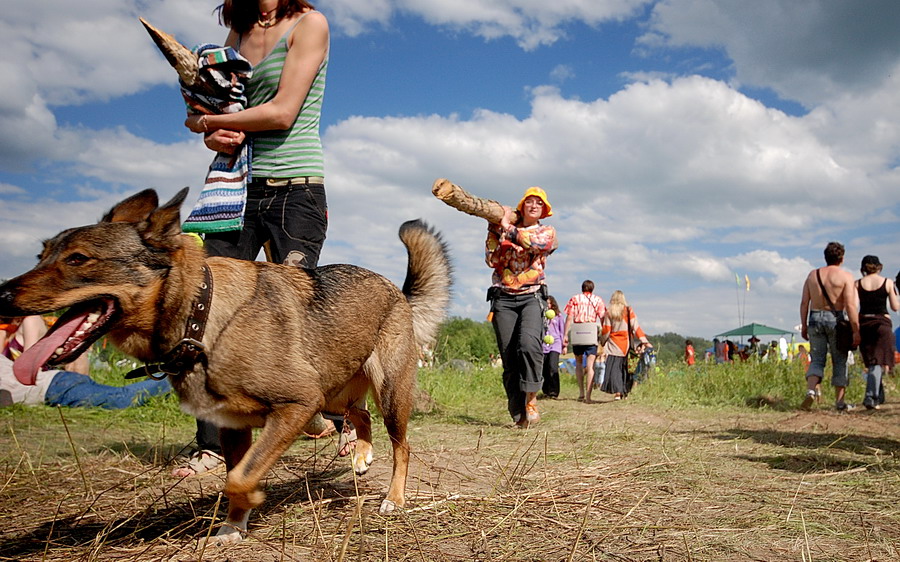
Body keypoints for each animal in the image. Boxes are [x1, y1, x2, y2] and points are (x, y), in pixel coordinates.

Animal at [0, 189, 450, 544]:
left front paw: (250, 503)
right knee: (360, 415)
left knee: (402, 446)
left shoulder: (298, 402)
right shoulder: (235, 425)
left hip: (387, 393)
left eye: (78, 259)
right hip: (335, 388)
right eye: (41, 254)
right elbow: (235, 477)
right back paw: (359, 453)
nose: (1, 295)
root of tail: (396, 290)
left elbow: (241, 478)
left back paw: (393, 498)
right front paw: (233, 526)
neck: (200, 317)